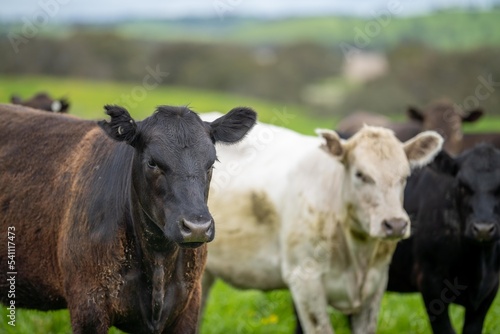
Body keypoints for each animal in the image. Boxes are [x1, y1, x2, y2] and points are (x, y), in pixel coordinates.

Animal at [0, 103, 256, 332]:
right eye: (152, 162)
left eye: (211, 163)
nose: (197, 227)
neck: (158, 262)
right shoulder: (88, 306)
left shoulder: (189, 307)